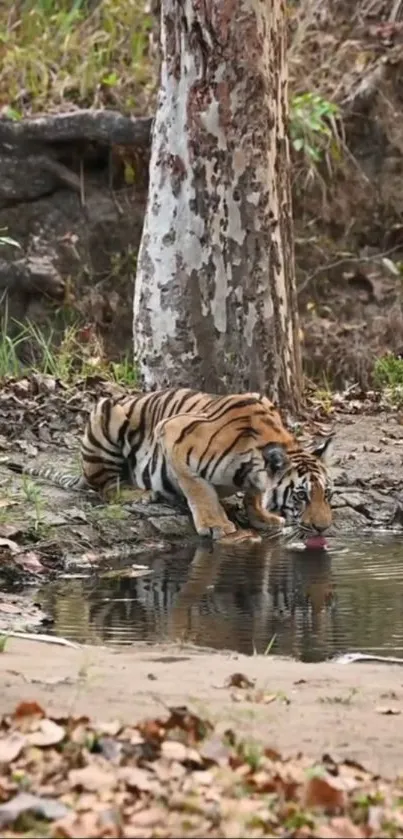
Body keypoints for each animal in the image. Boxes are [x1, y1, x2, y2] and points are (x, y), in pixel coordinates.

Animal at [4, 388, 298, 540]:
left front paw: (263, 517)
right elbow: (199, 489)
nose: (314, 528)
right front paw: (215, 524)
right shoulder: (173, 432)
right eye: (302, 495)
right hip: (106, 416)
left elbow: (254, 494)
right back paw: (138, 494)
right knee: (106, 487)